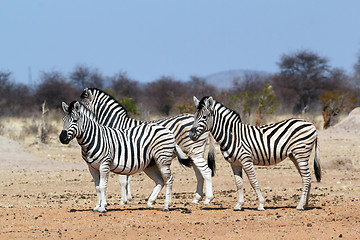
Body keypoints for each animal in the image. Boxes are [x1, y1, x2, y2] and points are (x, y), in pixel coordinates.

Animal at [58, 100, 191, 213]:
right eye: (63, 120)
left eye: (75, 120)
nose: (62, 138)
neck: (93, 138)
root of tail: (168, 131)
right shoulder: (92, 167)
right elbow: (97, 187)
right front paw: (97, 206)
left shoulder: (104, 164)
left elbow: (103, 186)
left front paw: (102, 208)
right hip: (150, 164)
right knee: (160, 180)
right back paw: (149, 203)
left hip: (162, 159)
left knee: (169, 179)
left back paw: (166, 206)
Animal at [81, 88, 217, 204]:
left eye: (81, 104)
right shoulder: (128, 155)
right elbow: (127, 178)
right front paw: (128, 198)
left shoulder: (123, 153)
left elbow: (122, 180)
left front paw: (123, 200)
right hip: (194, 153)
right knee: (199, 174)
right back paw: (196, 198)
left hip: (194, 151)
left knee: (206, 171)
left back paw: (207, 198)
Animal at [190, 95, 322, 210]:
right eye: (195, 116)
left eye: (204, 117)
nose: (191, 134)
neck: (232, 135)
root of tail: (311, 124)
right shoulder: (234, 163)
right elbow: (238, 183)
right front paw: (239, 205)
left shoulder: (246, 160)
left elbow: (253, 182)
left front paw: (261, 204)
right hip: (294, 155)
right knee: (307, 177)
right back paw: (305, 204)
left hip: (301, 154)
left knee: (306, 177)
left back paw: (300, 205)